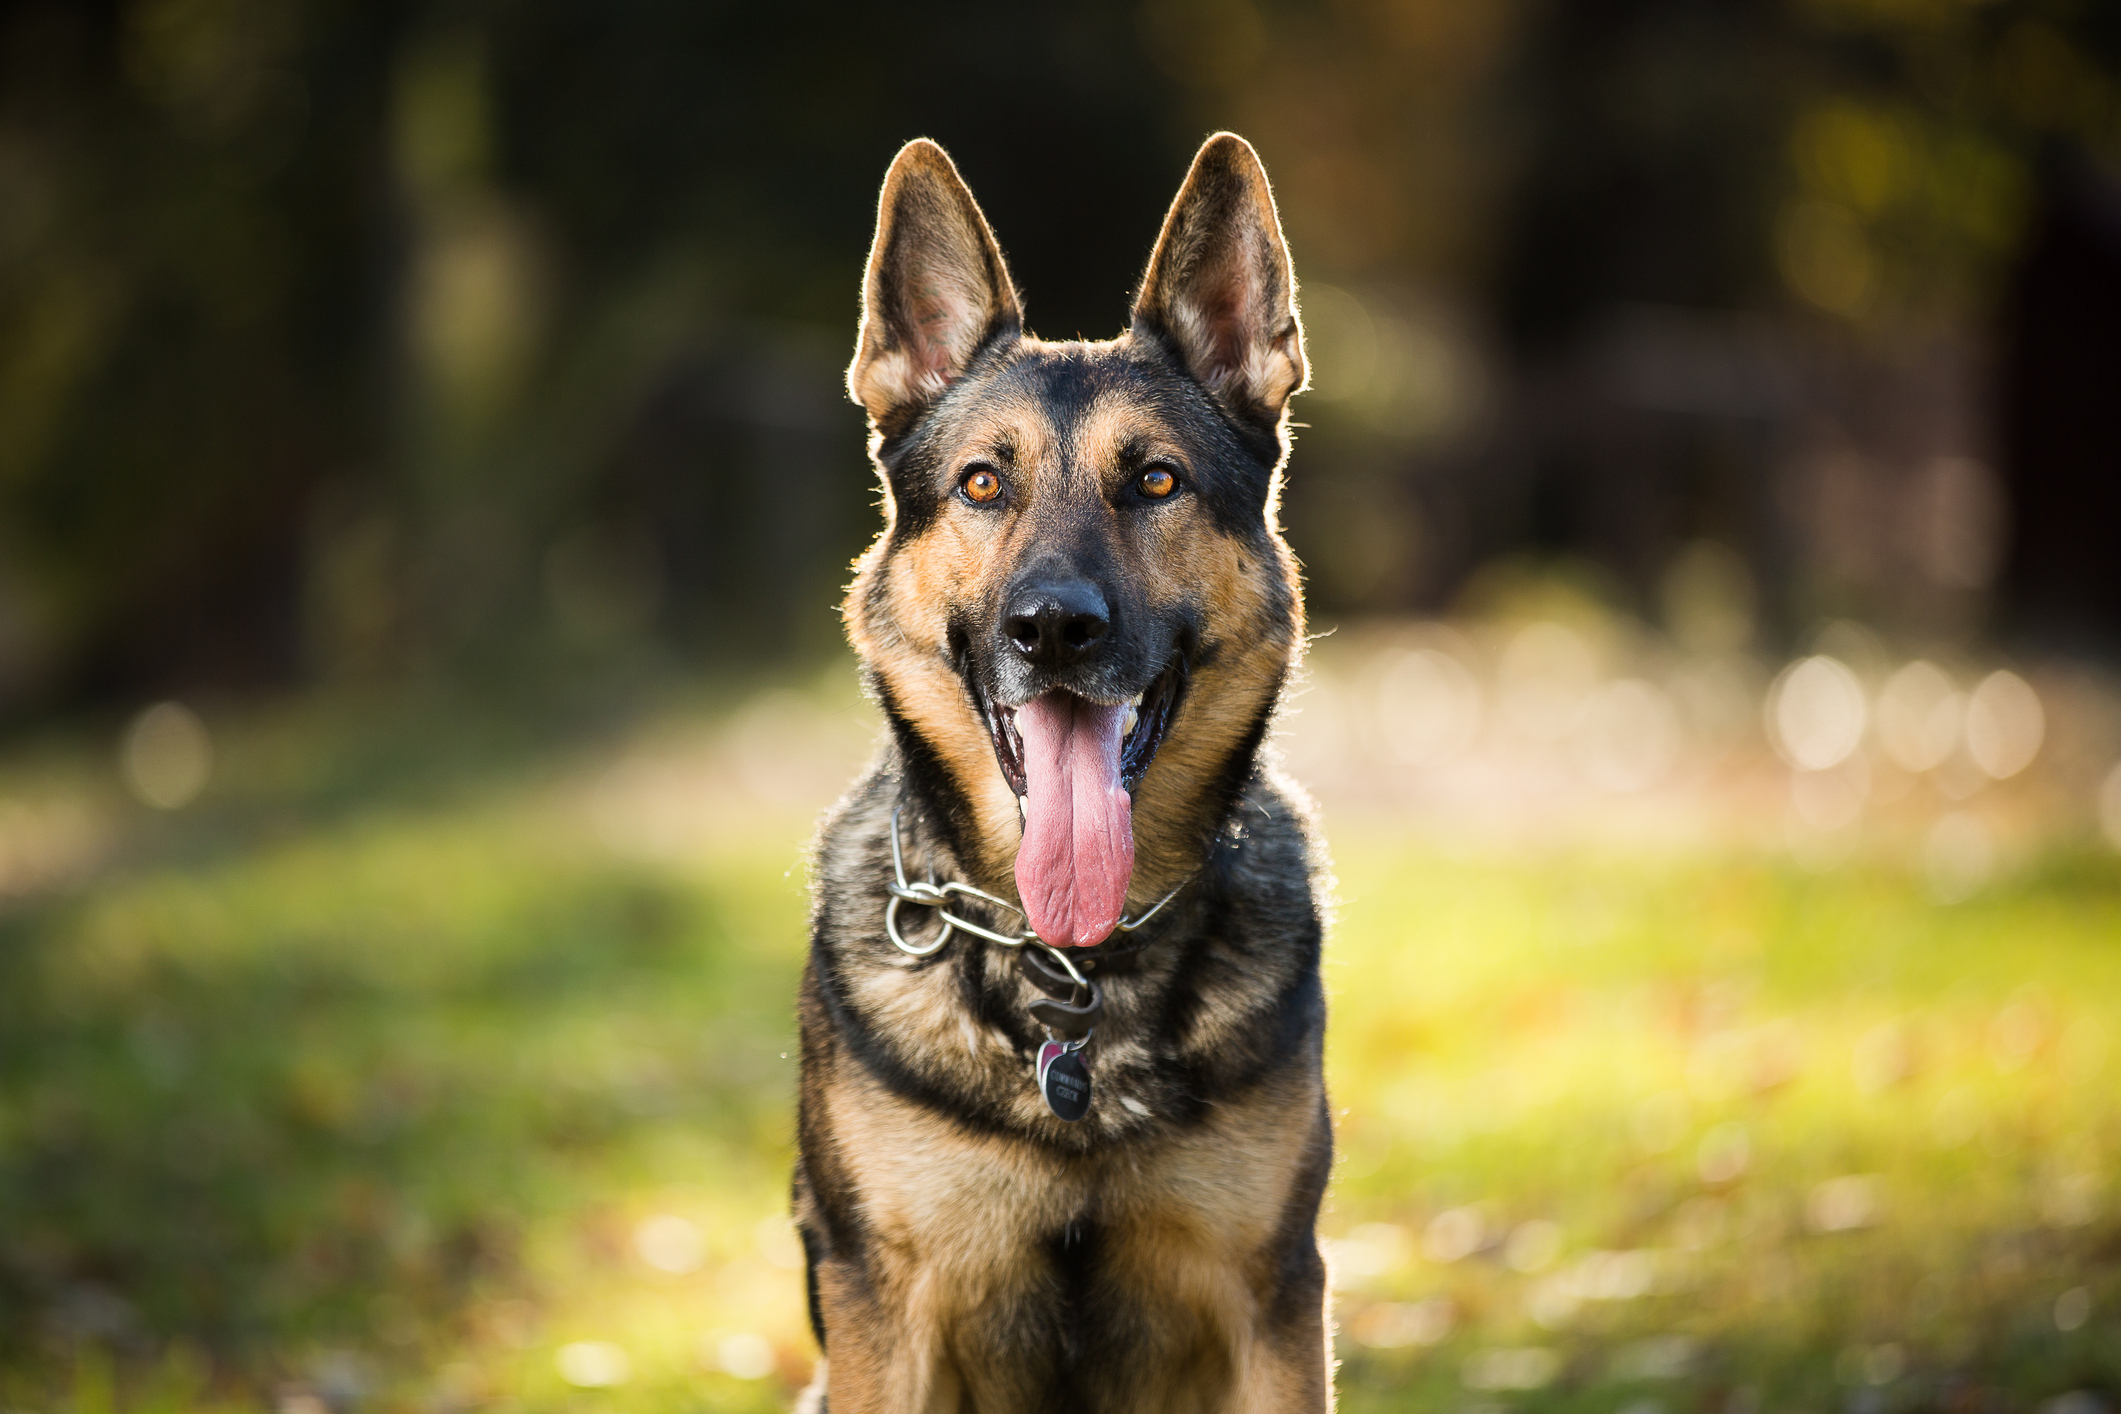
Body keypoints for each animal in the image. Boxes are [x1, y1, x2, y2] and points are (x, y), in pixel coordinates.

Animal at [797, 135, 1323, 1414]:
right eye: (984, 484)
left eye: (1157, 483)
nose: (1053, 629)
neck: (1072, 971)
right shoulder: (880, 1317)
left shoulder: (1279, 1302)